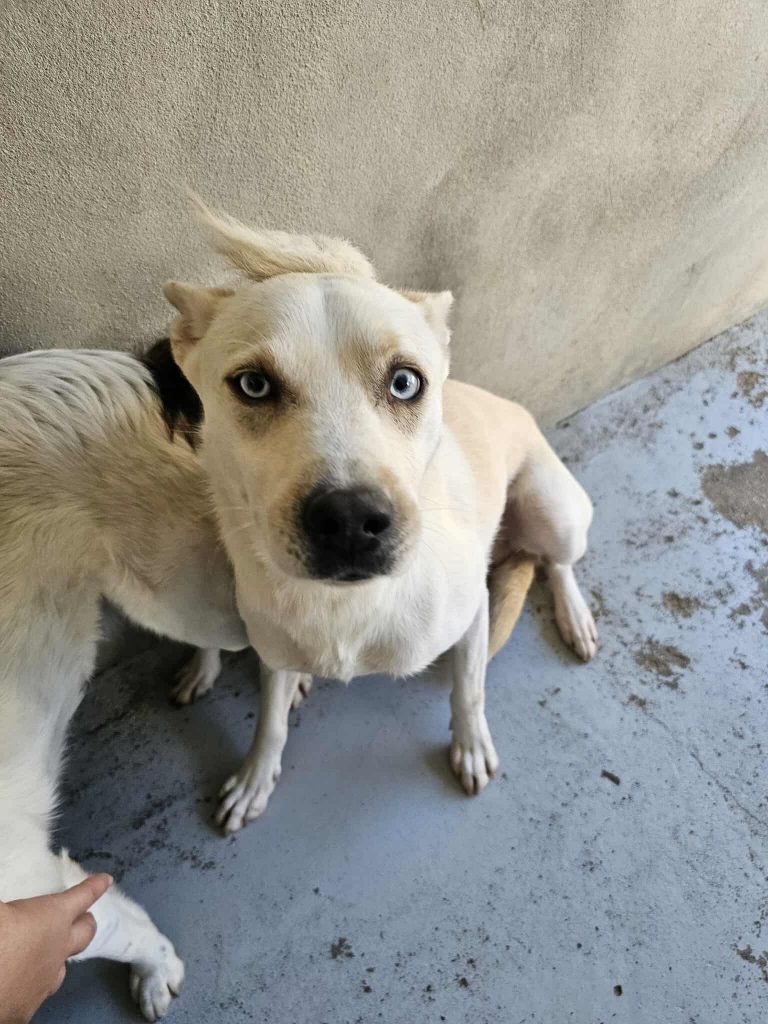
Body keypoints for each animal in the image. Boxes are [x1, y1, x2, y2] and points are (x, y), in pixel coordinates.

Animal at [163, 197, 597, 836]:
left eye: (405, 382)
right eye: (253, 385)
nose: (349, 520)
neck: (347, 607)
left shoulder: (472, 612)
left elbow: (468, 690)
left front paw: (470, 747)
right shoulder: (273, 650)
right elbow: (270, 719)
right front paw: (254, 779)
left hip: (553, 509)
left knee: (559, 563)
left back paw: (576, 618)